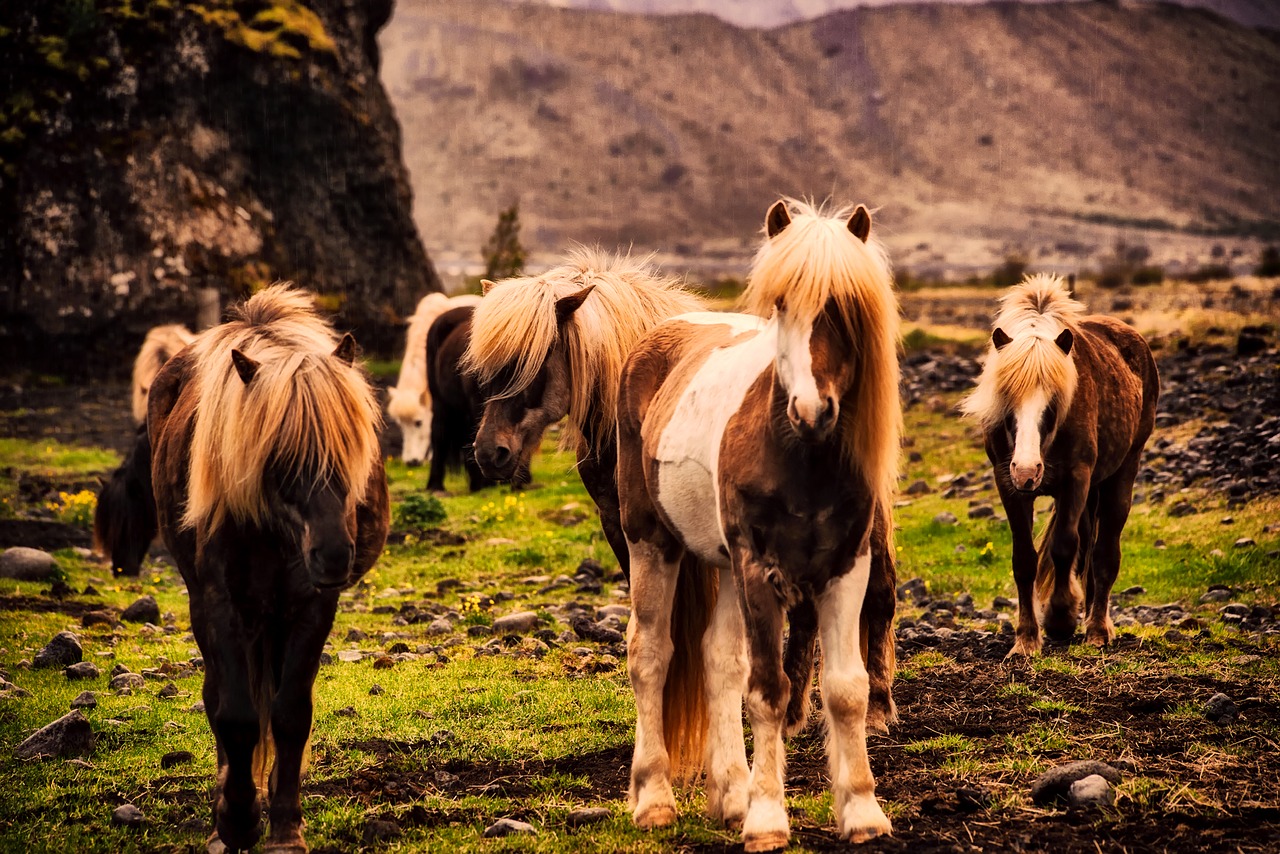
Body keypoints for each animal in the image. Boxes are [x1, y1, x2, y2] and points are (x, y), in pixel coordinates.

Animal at [97, 285, 386, 850]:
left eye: (351, 446)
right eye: (279, 455)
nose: (333, 554)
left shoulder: (313, 607)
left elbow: (290, 714)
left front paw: (285, 828)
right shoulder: (220, 603)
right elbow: (233, 715)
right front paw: (236, 821)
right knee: (219, 699)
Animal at [611, 201, 901, 850]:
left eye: (846, 306)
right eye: (782, 303)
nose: (812, 411)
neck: (800, 457)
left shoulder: (847, 568)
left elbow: (845, 690)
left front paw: (862, 811)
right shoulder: (759, 570)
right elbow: (769, 691)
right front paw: (769, 820)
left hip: (720, 562)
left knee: (718, 659)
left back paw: (730, 797)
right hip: (654, 543)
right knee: (650, 654)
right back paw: (654, 800)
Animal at [962, 277, 1162, 660]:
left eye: (1054, 402)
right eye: (1005, 400)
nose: (1027, 471)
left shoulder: (1075, 480)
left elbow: (1064, 547)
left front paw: (1060, 618)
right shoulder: (1008, 484)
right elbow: (1024, 560)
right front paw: (1026, 639)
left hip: (1121, 475)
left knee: (1104, 552)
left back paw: (1097, 628)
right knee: (1088, 547)